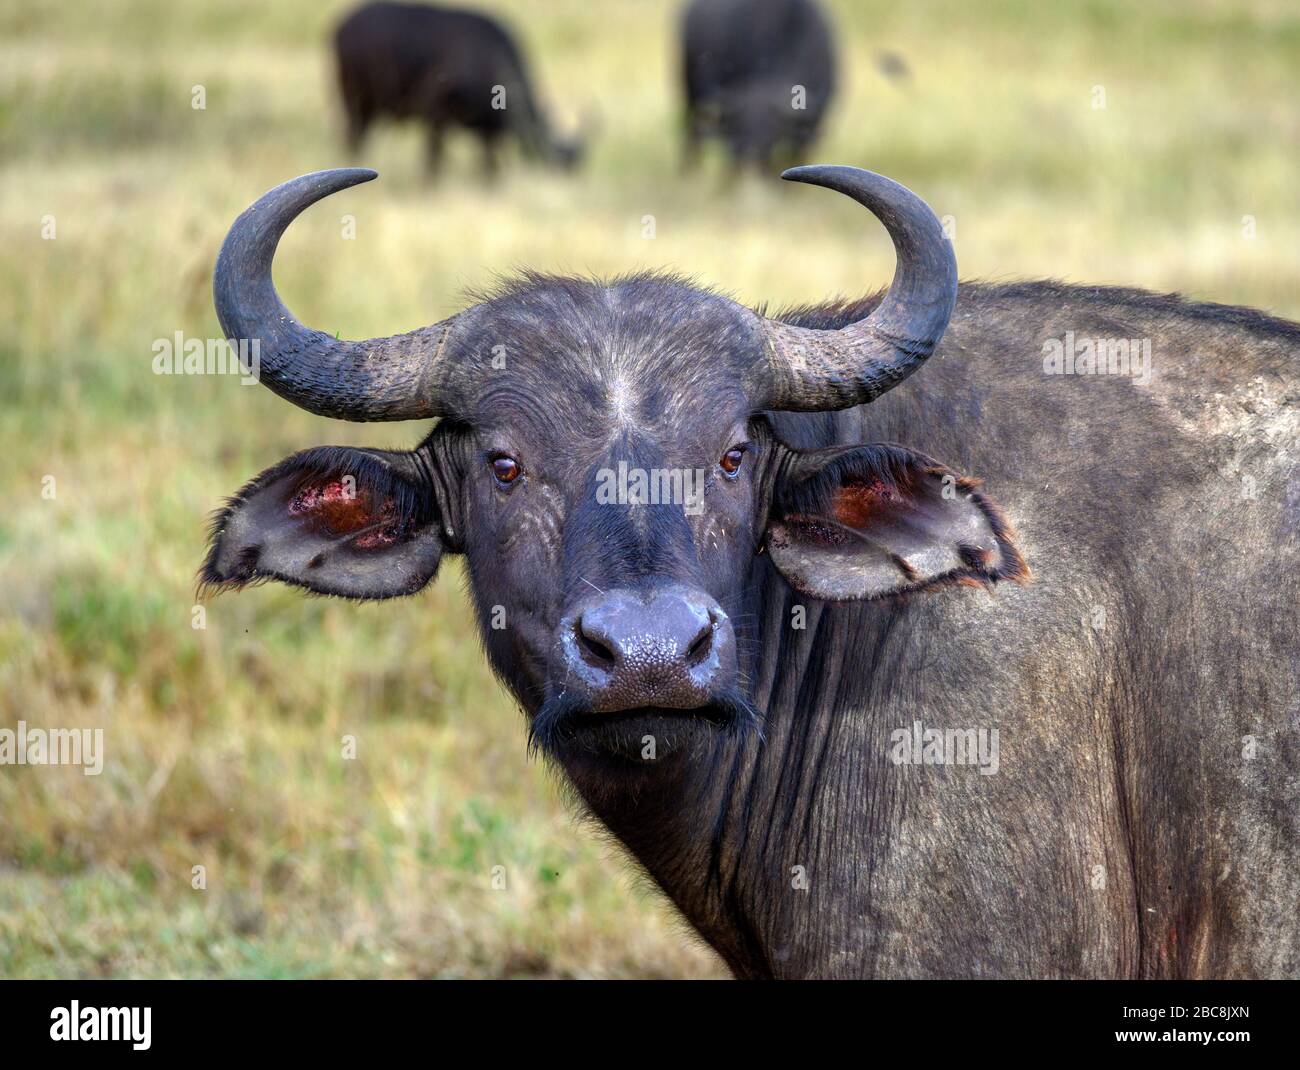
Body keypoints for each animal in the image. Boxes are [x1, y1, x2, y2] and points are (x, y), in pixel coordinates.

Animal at [332, 1, 582, 175]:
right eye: (558, 163)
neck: (489, 58)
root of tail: (342, 26)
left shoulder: (487, 132)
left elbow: (488, 168)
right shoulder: (435, 114)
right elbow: (434, 160)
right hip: (355, 103)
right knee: (353, 139)